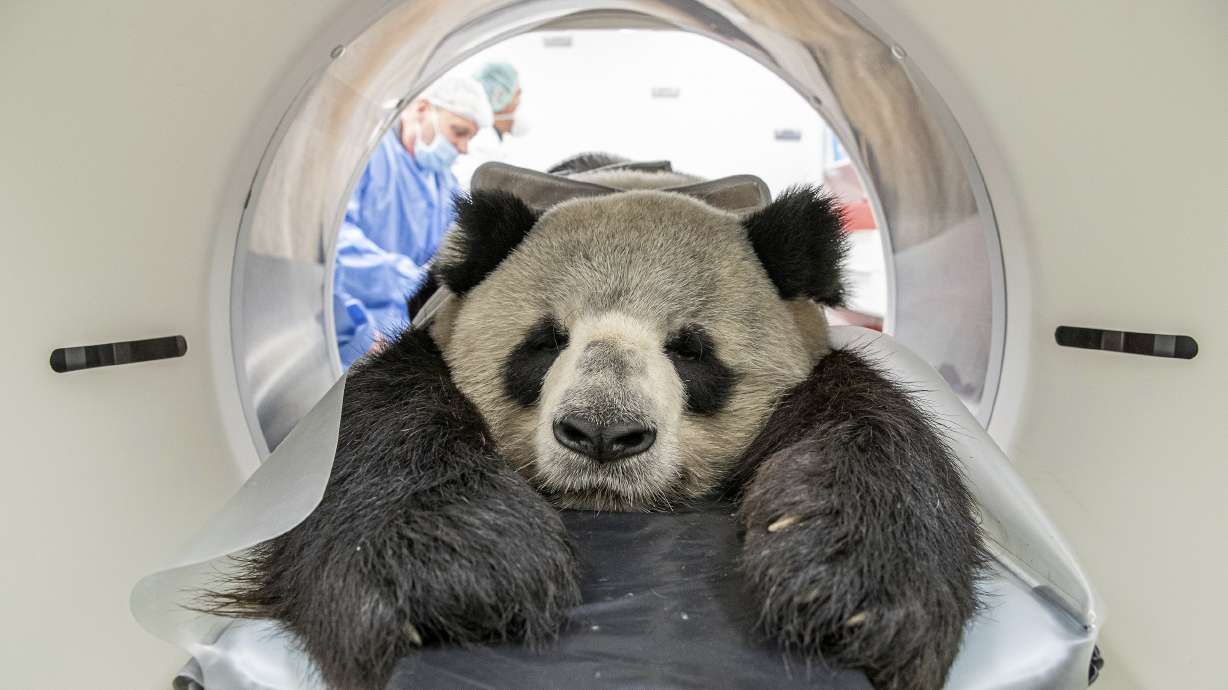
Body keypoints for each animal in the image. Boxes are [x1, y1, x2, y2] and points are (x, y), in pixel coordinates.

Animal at [208, 158, 987, 690]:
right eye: (545, 342)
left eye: (690, 350)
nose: (603, 436)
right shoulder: (431, 335)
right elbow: (380, 425)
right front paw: (456, 574)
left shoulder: (815, 356)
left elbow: (867, 418)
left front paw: (848, 586)